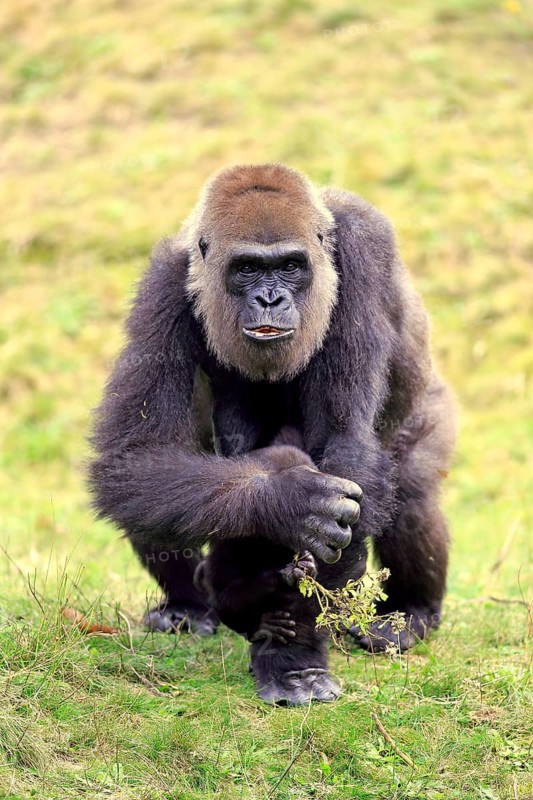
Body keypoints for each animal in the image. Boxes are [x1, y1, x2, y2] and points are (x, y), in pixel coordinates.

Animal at [89, 163, 456, 705]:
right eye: (246, 269)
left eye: (290, 267)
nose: (269, 297)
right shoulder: (164, 283)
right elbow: (136, 457)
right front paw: (287, 502)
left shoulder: (364, 251)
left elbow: (344, 443)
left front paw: (294, 650)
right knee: (162, 492)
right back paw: (191, 605)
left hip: (429, 407)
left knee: (411, 490)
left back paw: (410, 613)